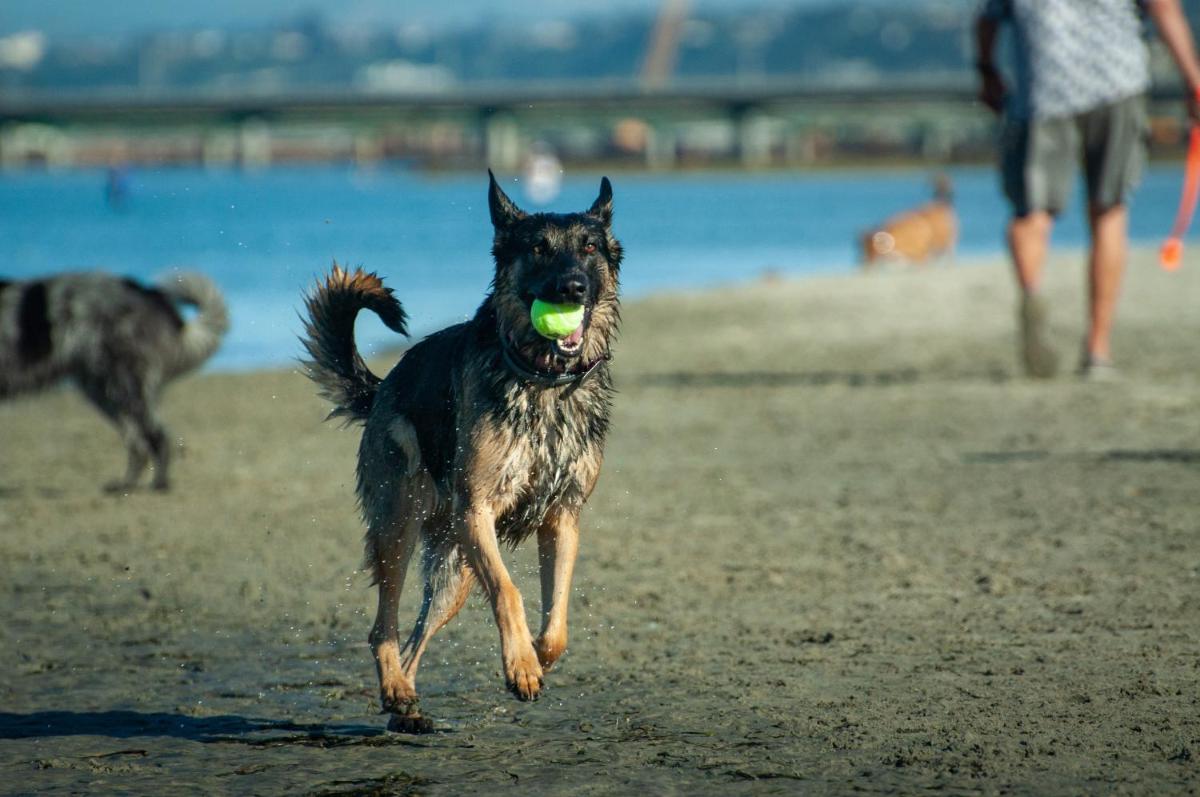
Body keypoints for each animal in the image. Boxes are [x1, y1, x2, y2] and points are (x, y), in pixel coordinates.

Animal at [0, 271, 228, 489]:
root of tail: (146, 292)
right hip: (103, 391)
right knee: (138, 445)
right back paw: (126, 484)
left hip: (124, 386)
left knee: (157, 437)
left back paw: (158, 484)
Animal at [300, 171, 624, 729]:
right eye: (538, 248)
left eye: (588, 247)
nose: (573, 288)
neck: (542, 381)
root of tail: (383, 388)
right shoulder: (477, 511)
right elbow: (511, 593)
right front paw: (521, 666)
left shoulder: (562, 518)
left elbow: (556, 622)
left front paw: (534, 656)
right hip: (401, 528)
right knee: (384, 626)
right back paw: (397, 690)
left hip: (456, 572)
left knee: (415, 639)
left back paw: (403, 701)